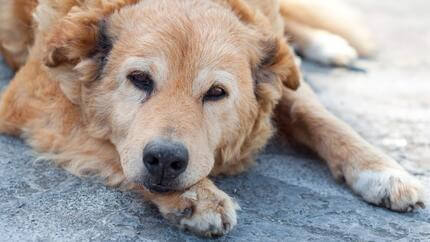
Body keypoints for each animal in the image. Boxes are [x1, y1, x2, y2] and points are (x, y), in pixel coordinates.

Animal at [0, 0, 424, 237]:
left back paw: (328, 44)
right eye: (139, 79)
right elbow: (109, 146)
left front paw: (384, 171)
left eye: (216, 93)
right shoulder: (32, 103)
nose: (165, 161)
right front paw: (197, 197)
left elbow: (319, 115)